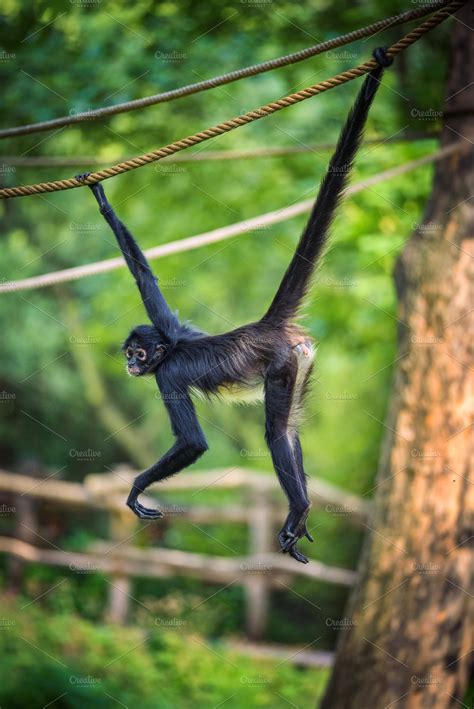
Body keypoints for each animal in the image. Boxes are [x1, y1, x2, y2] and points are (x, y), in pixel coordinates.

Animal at [77, 48, 392, 563]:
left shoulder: (167, 372)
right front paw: (102, 203)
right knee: (290, 429)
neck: (171, 347)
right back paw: (302, 513)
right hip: (300, 362)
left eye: (138, 355)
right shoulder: (172, 326)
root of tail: (267, 325)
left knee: (275, 432)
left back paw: (299, 507)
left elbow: (193, 442)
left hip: (281, 363)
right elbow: (146, 278)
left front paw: (137, 488)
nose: (129, 364)